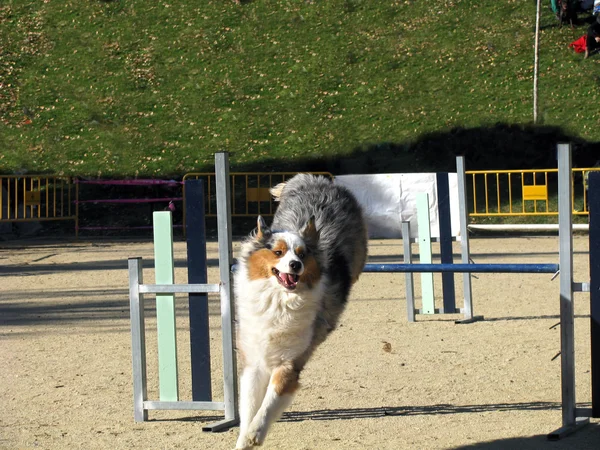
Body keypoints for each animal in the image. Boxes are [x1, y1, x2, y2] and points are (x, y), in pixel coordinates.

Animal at [233, 174, 366, 448]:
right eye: (278, 252)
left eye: (302, 255)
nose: (295, 265)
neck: (278, 300)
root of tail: (316, 179)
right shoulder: (254, 360)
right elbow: (249, 407)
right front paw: (243, 438)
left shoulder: (290, 362)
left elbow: (268, 403)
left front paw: (255, 432)